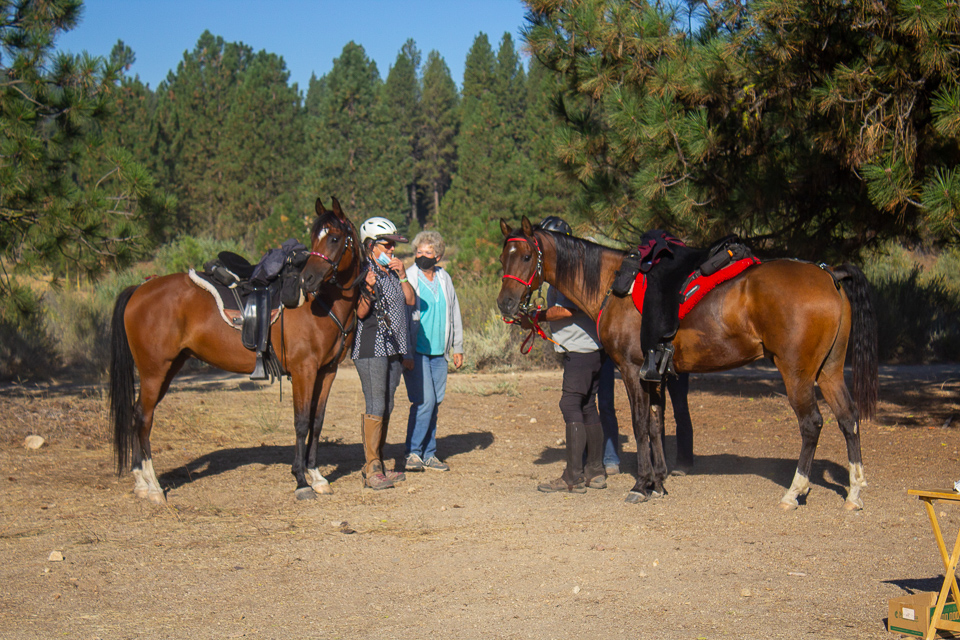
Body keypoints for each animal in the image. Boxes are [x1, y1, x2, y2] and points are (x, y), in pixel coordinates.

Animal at [109, 195, 364, 500]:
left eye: (335, 238)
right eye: (315, 238)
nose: (308, 280)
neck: (322, 304)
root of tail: (139, 289)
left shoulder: (327, 371)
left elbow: (317, 421)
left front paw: (316, 476)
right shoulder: (304, 370)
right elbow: (302, 422)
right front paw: (301, 481)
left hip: (167, 369)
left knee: (137, 414)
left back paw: (140, 482)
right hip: (153, 371)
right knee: (143, 417)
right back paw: (153, 486)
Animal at [498, 218, 880, 512]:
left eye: (528, 256)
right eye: (504, 257)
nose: (505, 303)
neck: (613, 286)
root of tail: (829, 274)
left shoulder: (632, 370)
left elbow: (640, 423)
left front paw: (641, 485)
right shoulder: (656, 375)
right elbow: (656, 423)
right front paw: (658, 483)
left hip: (797, 373)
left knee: (812, 424)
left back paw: (794, 491)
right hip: (829, 371)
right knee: (848, 418)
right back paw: (855, 492)